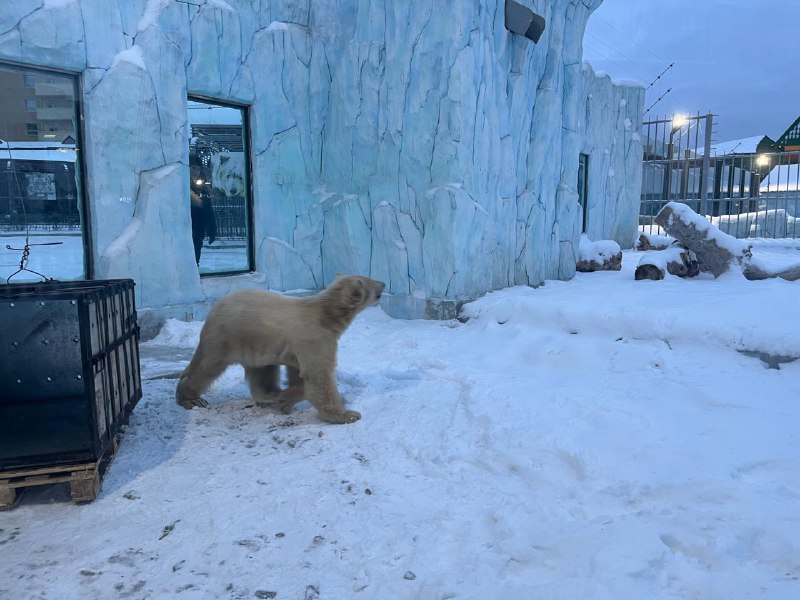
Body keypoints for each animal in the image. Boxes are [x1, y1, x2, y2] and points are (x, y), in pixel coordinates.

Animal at [176, 274, 388, 424]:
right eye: (372, 281)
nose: (384, 284)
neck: (327, 314)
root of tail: (212, 312)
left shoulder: (299, 345)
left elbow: (298, 372)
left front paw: (285, 399)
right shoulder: (316, 337)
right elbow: (318, 375)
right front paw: (347, 415)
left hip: (255, 343)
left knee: (262, 371)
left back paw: (271, 395)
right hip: (227, 337)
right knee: (208, 367)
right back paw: (191, 398)